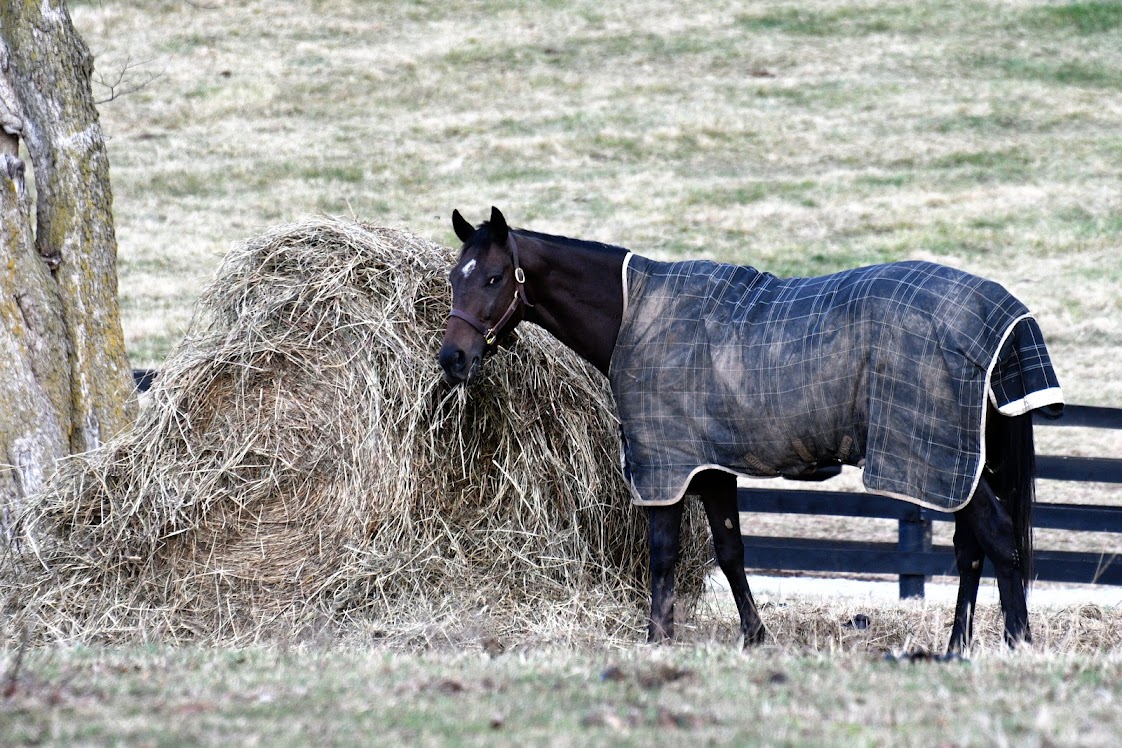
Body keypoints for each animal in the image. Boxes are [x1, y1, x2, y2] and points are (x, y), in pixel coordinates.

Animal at [435, 206, 1059, 654]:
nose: (452, 358)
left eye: (493, 277)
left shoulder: (666, 465)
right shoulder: (711, 468)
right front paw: (754, 637)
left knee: (998, 539)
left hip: (938, 460)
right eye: (453, 279)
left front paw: (657, 638)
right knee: (972, 551)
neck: (635, 313)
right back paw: (957, 648)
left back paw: (1016, 643)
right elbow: (732, 551)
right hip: (961, 463)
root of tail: (1003, 315)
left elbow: (663, 553)